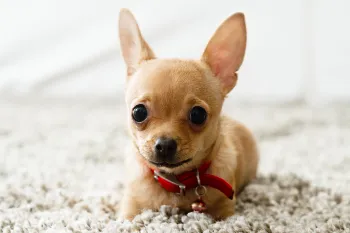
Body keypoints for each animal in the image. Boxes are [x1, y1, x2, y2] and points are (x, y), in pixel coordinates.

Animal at [117, 8, 258, 220]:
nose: (165, 145)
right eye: (138, 113)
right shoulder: (129, 210)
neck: (176, 183)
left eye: (198, 115)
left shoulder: (225, 211)